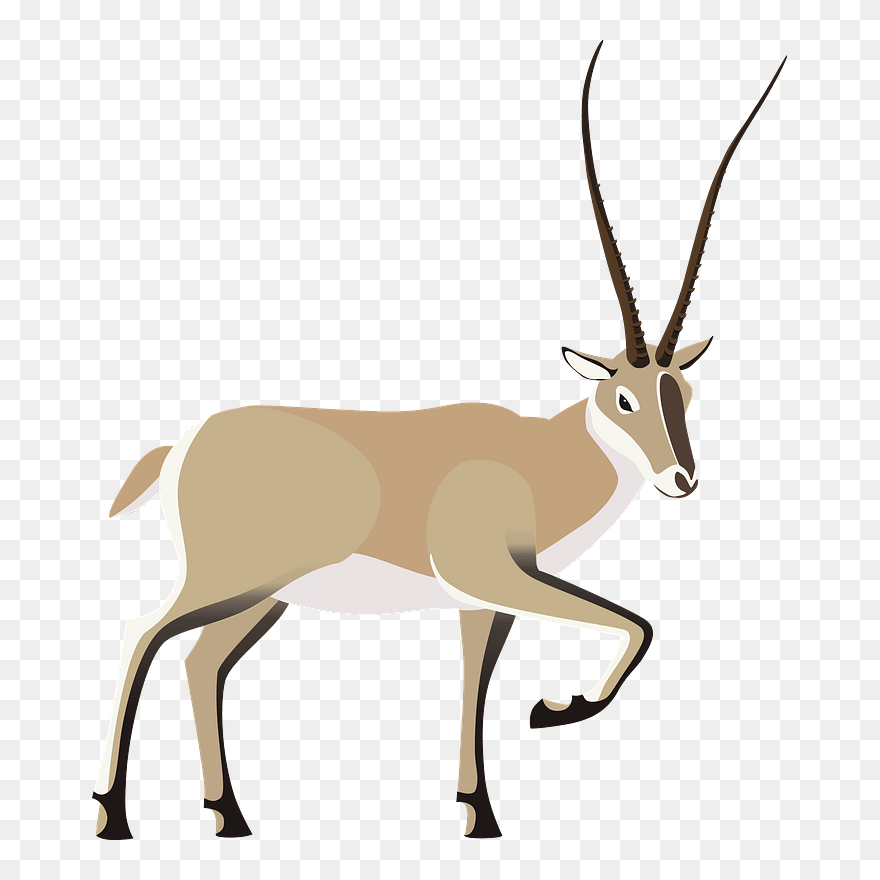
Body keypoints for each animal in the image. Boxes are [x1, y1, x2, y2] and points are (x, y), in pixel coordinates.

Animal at [92, 43, 785, 840]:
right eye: (624, 396)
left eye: (684, 394)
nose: (681, 480)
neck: (537, 461)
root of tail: (183, 444)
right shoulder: (491, 576)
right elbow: (636, 623)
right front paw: (555, 711)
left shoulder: (486, 600)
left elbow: (478, 680)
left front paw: (479, 810)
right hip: (229, 581)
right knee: (143, 635)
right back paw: (114, 814)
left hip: (262, 597)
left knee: (201, 661)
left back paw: (228, 816)